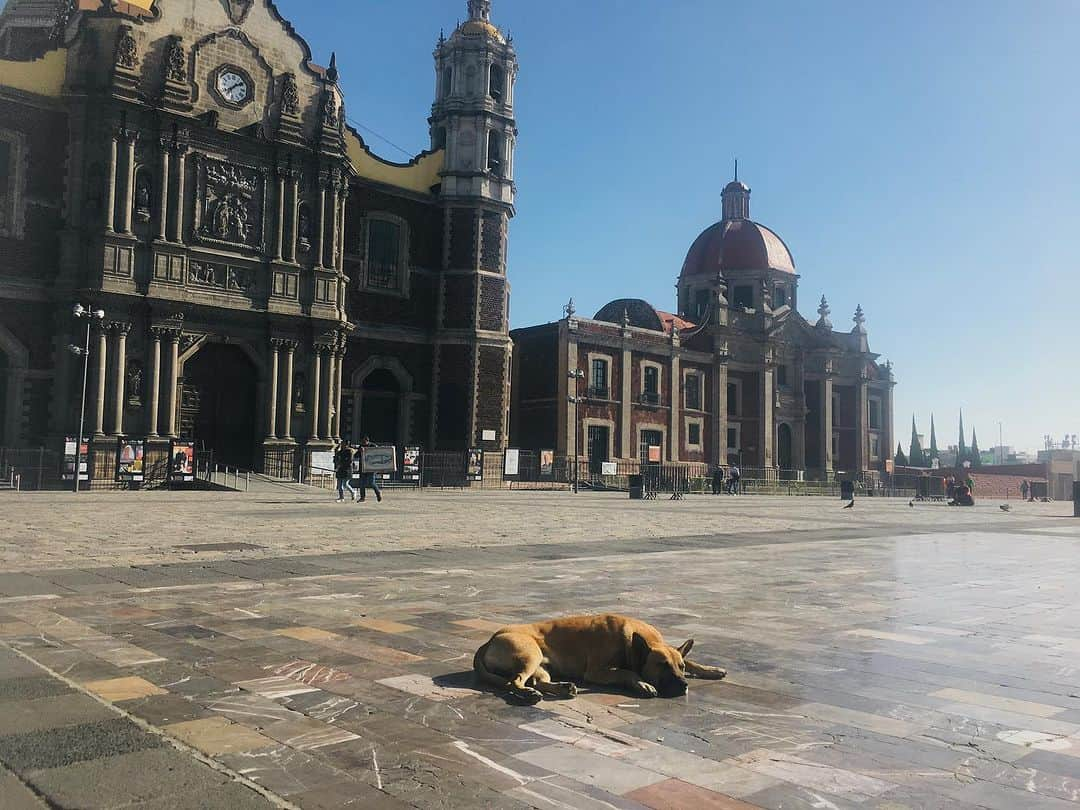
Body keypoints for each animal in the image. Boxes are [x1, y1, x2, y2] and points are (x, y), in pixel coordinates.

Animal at [473, 613, 725, 704]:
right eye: (661, 666)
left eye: (679, 666)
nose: (684, 685)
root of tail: (492, 638)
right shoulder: (596, 671)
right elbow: (627, 671)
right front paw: (642, 683)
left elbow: (693, 661)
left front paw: (711, 669)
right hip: (530, 654)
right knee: (514, 681)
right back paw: (527, 694)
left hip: (541, 665)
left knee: (539, 681)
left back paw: (561, 688)